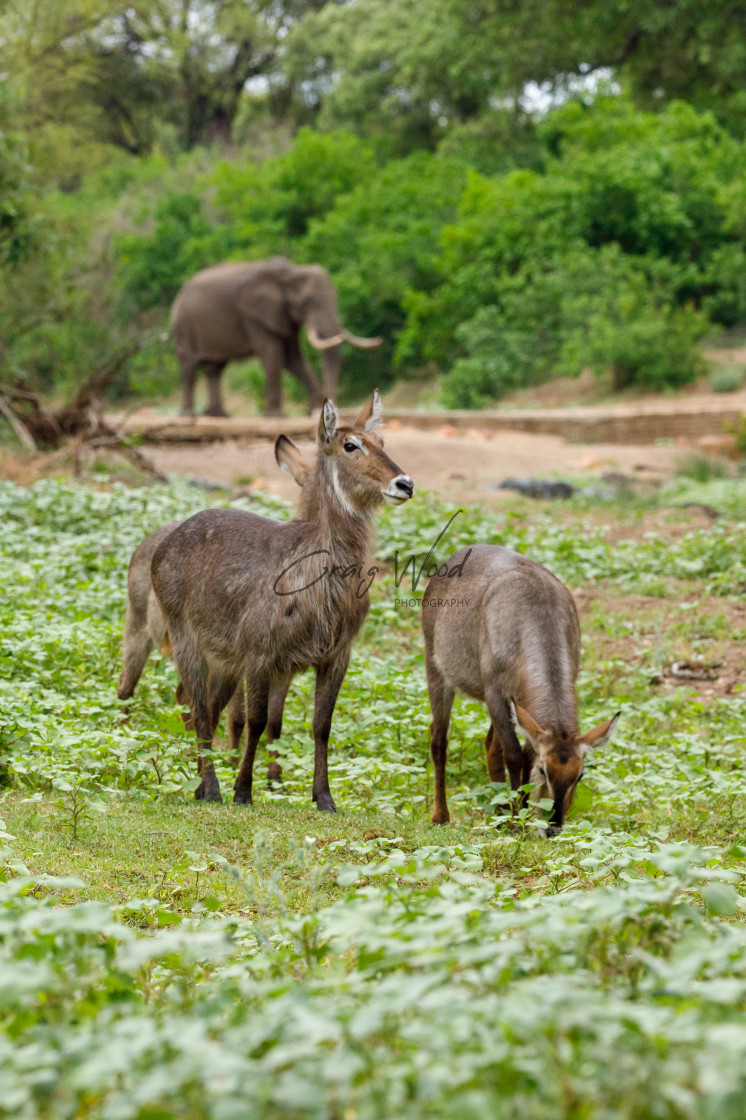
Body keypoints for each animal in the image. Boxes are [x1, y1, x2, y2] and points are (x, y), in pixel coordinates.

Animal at [170, 256, 380, 418]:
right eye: (306, 302)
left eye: (336, 296)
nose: (328, 411)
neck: (290, 271)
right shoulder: (254, 315)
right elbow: (273, 354)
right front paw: (276, 417)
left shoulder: (283, 314)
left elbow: (292, 358)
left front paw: (310, 411)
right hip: (185, 323)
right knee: (189, 364)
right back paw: (189, 416)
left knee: (216, 368)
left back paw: (219, 416)